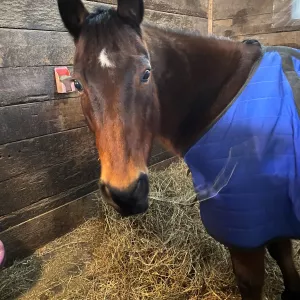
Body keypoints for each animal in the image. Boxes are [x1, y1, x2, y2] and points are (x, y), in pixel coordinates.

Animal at [56, 1, 300, 298]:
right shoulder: (273, 216)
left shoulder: (247, 230)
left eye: (146, 73)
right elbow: (283, 253)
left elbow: (252, 278)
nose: (125, 194)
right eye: (78, 83)